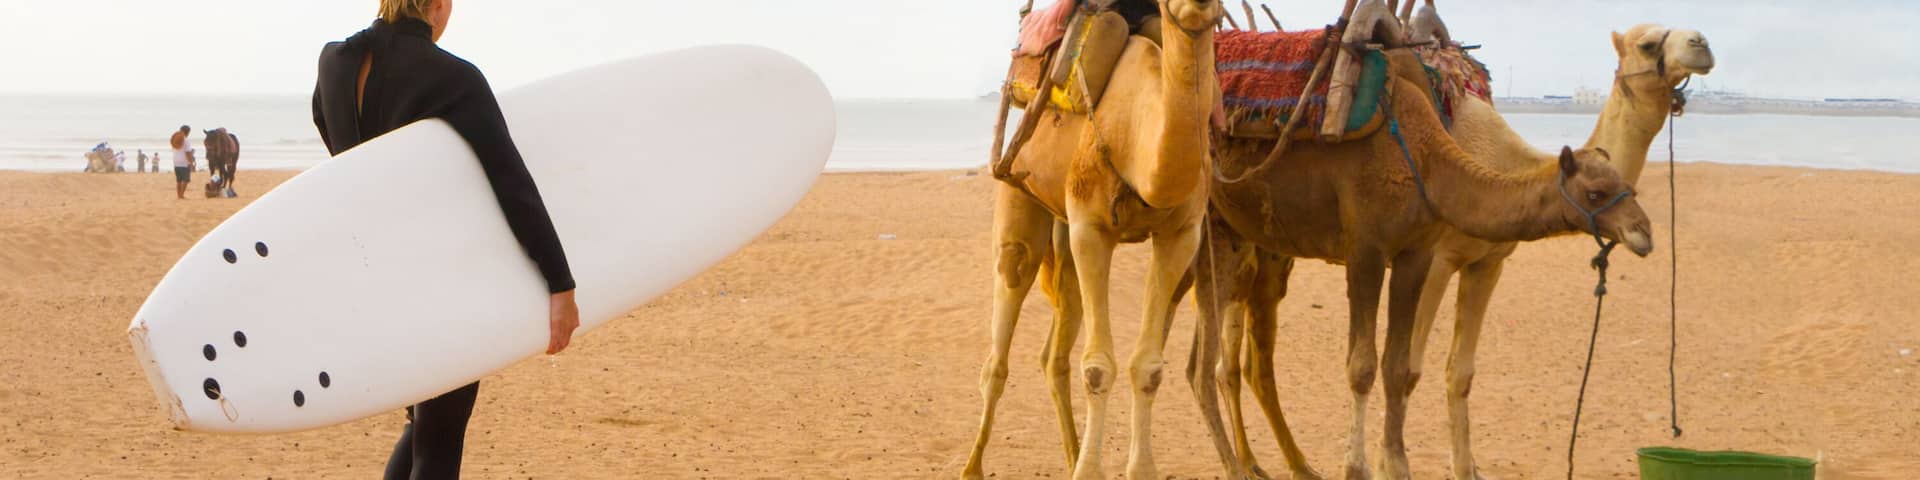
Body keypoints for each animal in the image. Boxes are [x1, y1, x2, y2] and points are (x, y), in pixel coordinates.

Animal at [960, 1, 1240, 479]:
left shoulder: (1181, 235)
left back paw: (1071, 453)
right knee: (1001, 338)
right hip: (1019, 196)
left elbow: (1148, 368)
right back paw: (972, 466)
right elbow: (1096, 368)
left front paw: (1136, 469)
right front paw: (1090, 470)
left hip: (1063, 234)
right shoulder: (1090, 228)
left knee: (1054, 354)